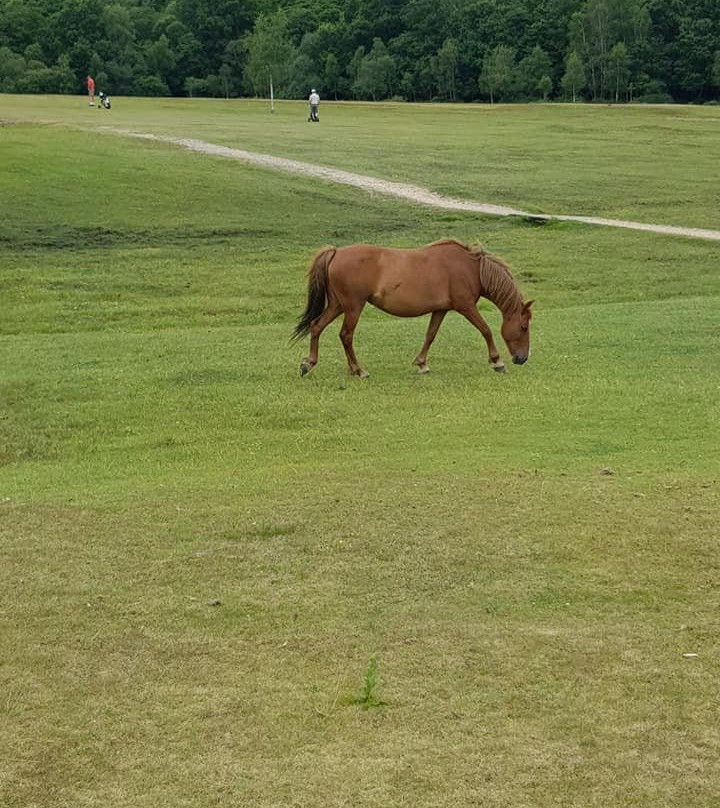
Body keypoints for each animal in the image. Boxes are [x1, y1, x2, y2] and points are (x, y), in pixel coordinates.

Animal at [294, 240, 536, 378]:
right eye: (524, 327)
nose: (523, 358)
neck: (471, 268)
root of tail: (335, 252)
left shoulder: (441, 310)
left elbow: (430, 335)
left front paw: (421, 364)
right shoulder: (466, 306)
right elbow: (485, 330)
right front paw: (497, 362)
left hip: (337, 305)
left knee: (316, 326)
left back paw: (309, 363)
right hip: (353, 307)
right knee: (345, 335)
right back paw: (358, 370)